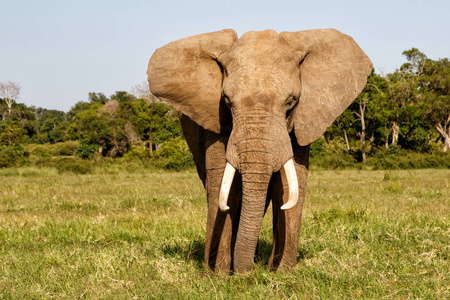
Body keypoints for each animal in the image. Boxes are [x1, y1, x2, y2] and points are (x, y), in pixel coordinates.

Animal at [148, 29, 372, 274]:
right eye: (227, 101)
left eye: (291, 102)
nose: (250, 271)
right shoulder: (215, 121)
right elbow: (224, 187)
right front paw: (219, 275)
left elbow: (290, 185)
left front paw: (282, 272)